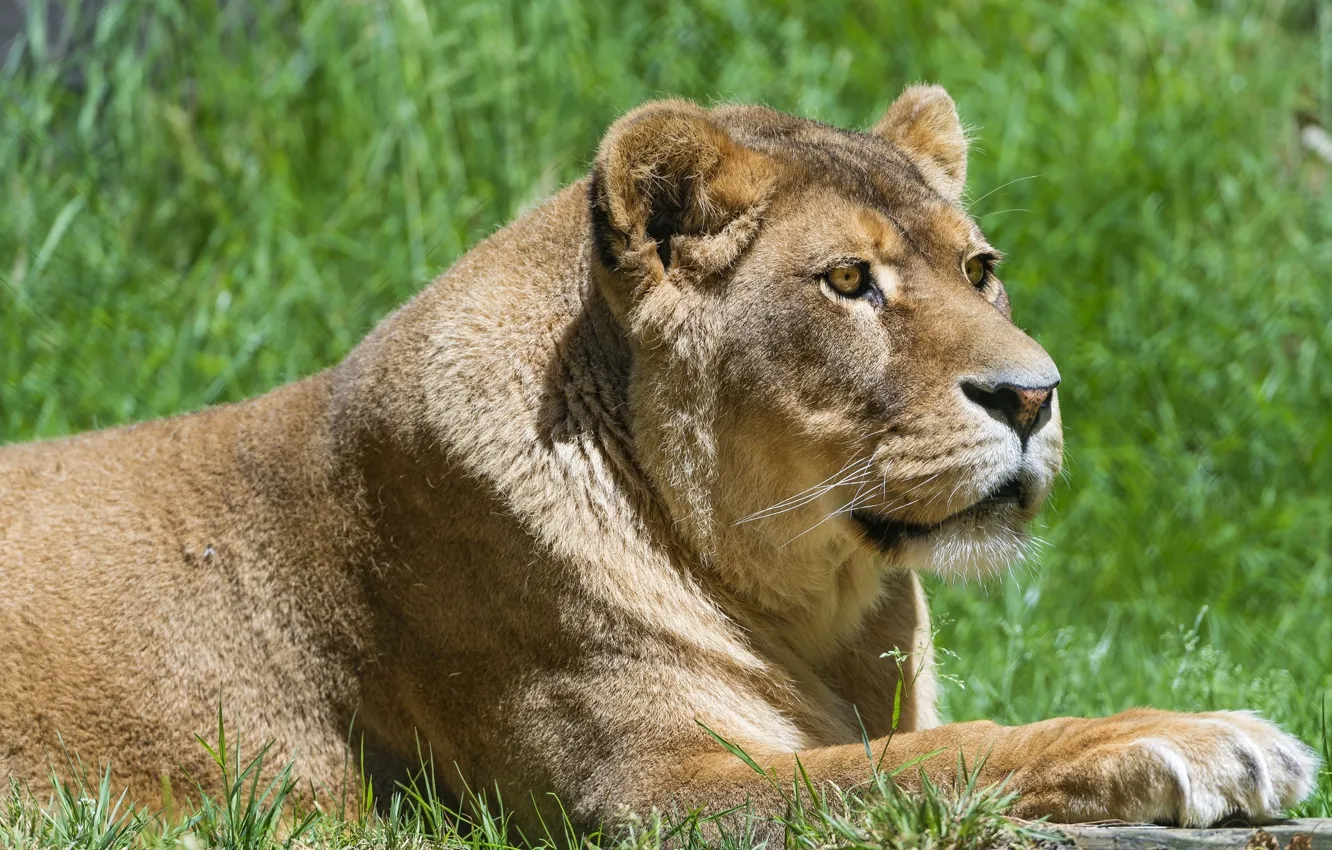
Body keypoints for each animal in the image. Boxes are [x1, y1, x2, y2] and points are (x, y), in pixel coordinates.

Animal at [0, 86, 1317, 832]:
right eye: (850, 280)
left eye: (979, 268)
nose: (1034, 394)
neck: (821, 605)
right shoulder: (653, 791)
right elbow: (935, 755)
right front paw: (1199, 740)